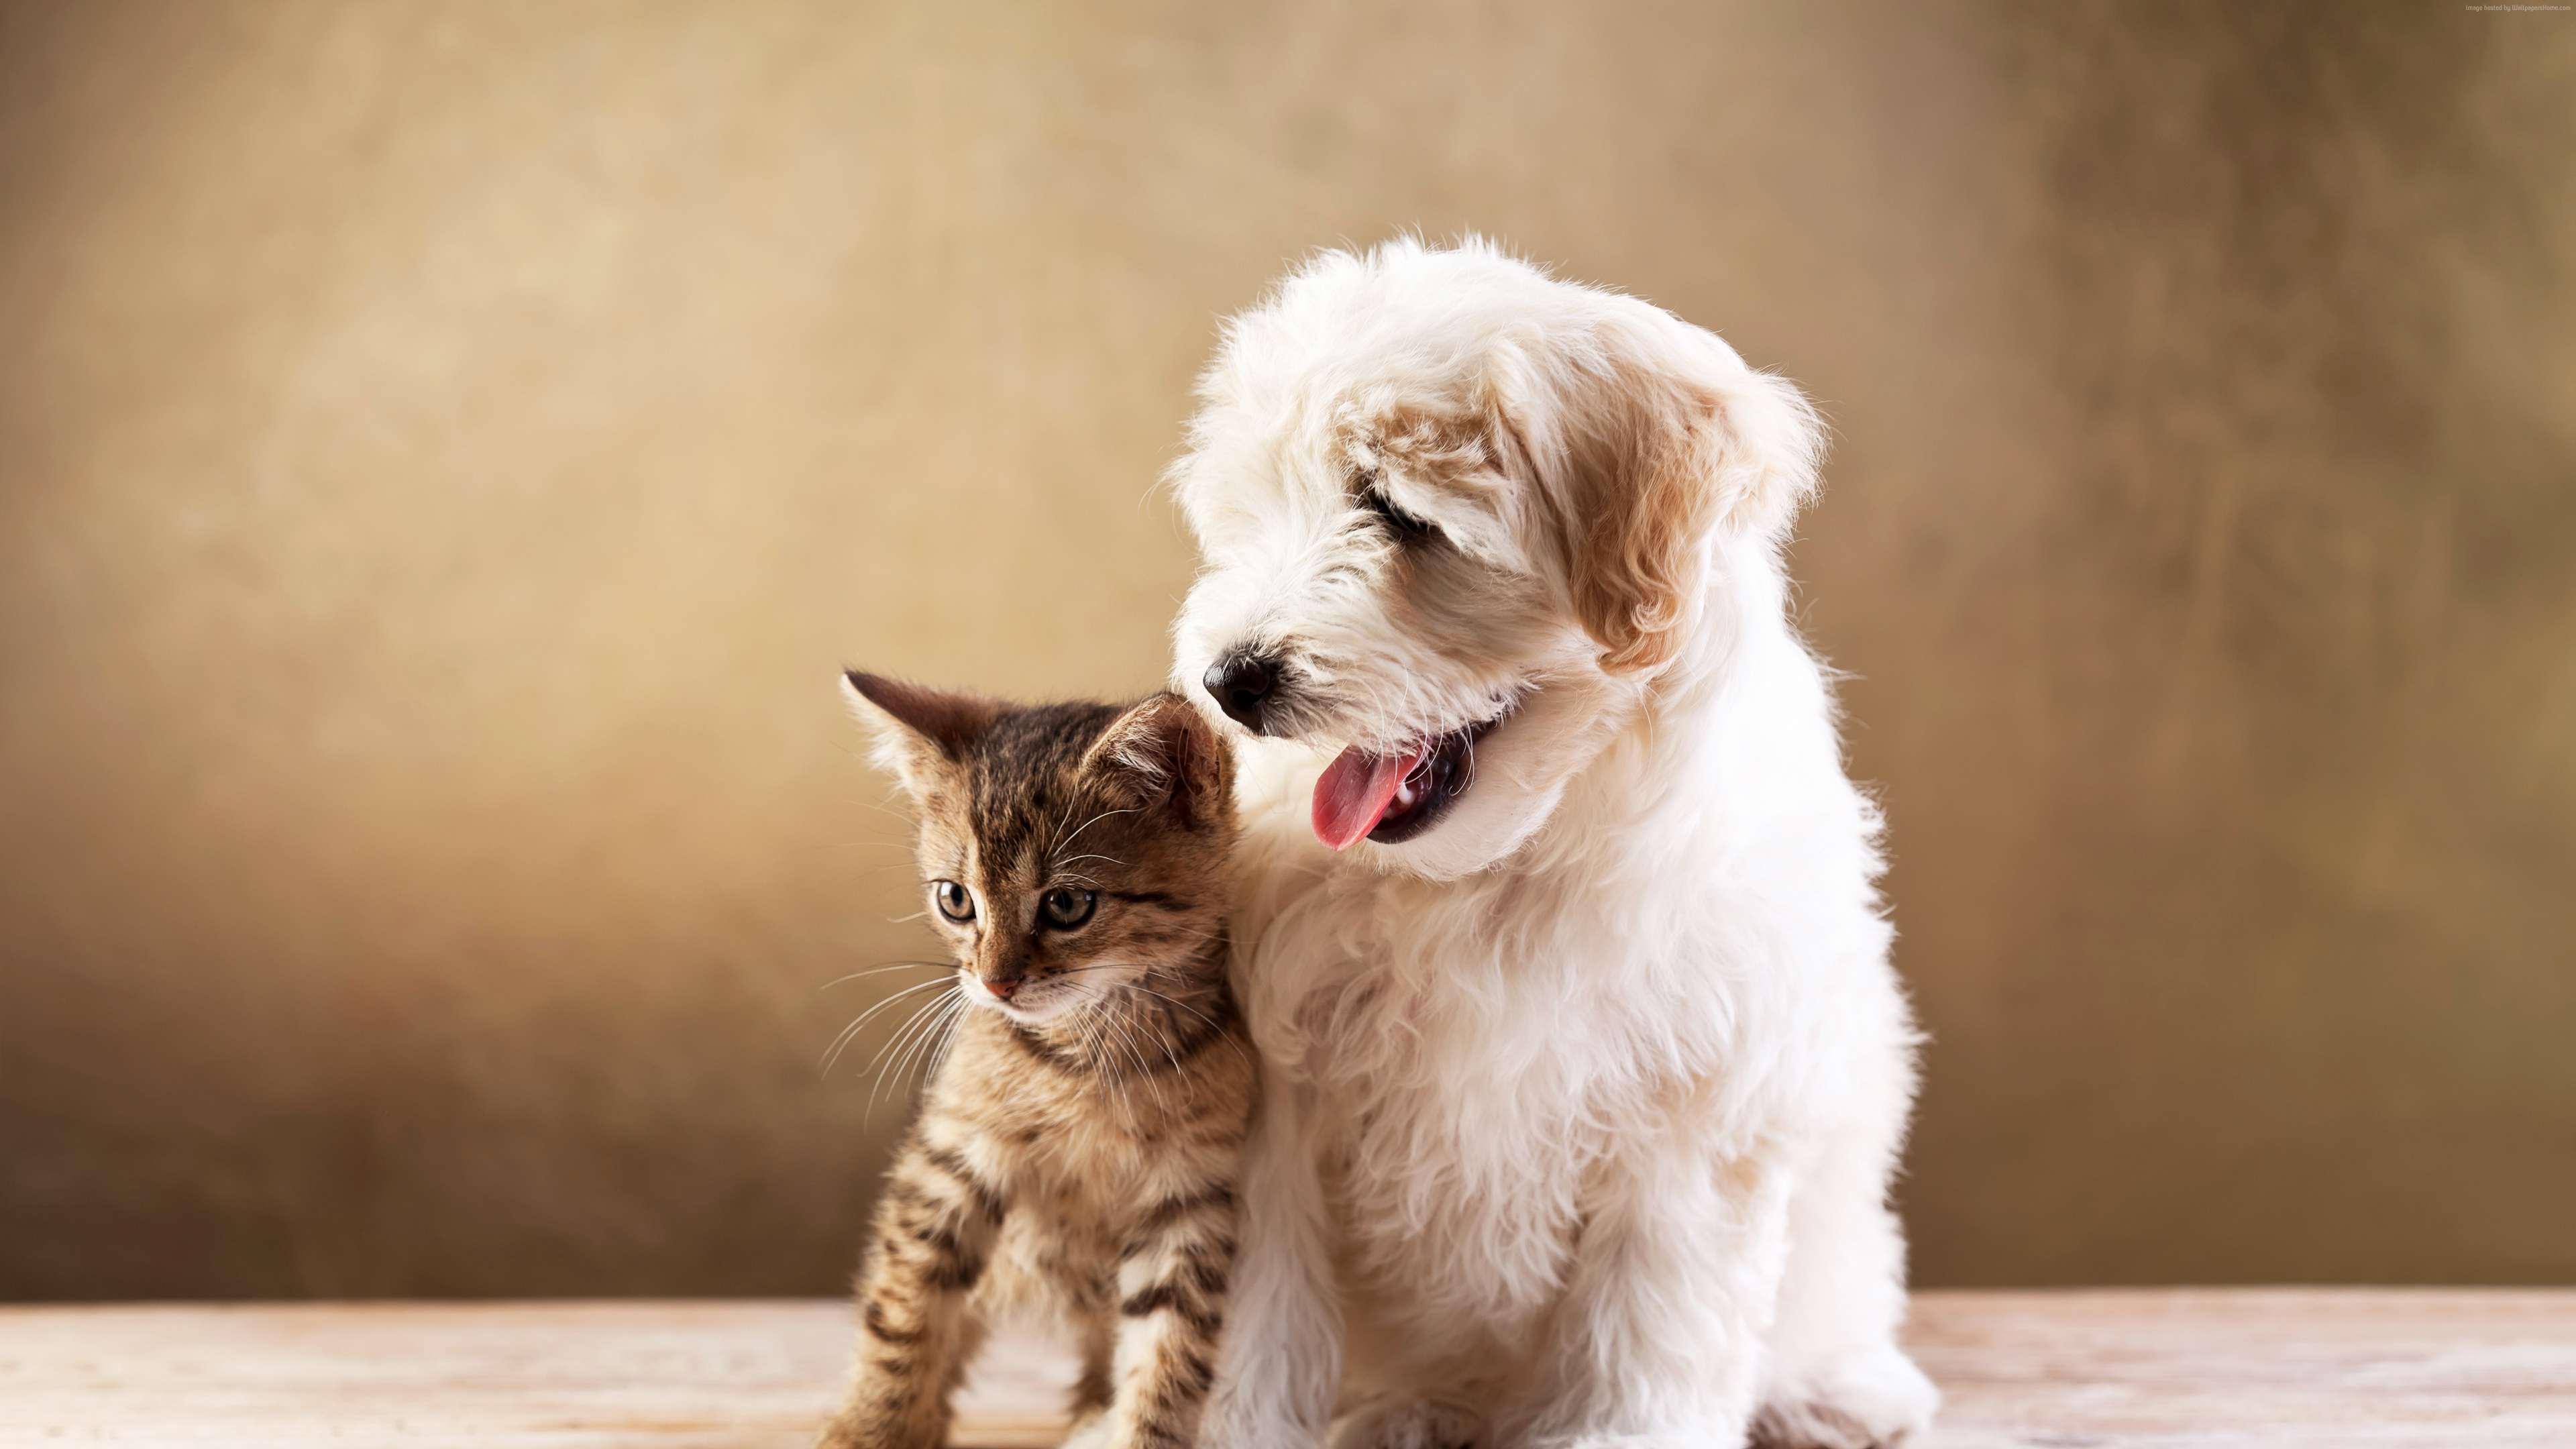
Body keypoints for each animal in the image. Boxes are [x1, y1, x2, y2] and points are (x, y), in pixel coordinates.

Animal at [824, 675, 1256, 1444]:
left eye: (1067, 904)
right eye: (955, 900)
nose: (995, 984)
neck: (1088, 1056)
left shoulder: (1189, 1200)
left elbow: (1171, 1359)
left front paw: (1138, 1431)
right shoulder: (950, 1159)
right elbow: (903, 1314)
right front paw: (871, 1427)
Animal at [1169, 239, 1937, 1444]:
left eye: (1398, 514)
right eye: (1253, 512)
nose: (1231, 679)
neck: (1493, 872)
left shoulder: (1696, 1112)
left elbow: (1650, 1325)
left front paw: (1625, 1429)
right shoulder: (1270, 1089)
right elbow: (1255, 1313)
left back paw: (1841, 1389)